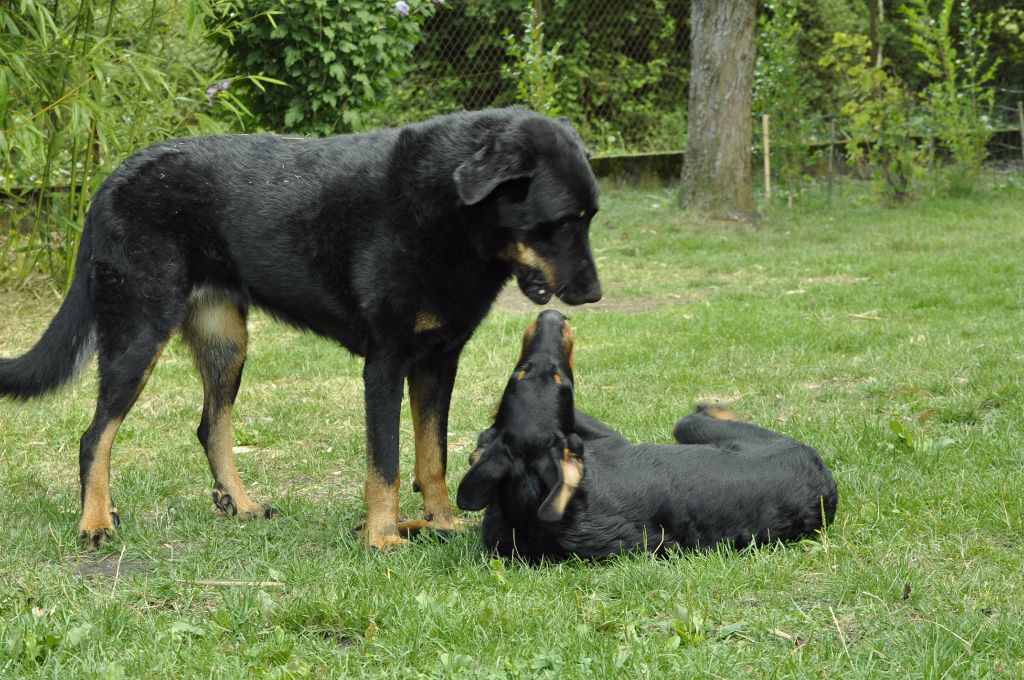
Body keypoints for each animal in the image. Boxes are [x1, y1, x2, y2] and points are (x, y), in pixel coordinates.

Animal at [0, 107, 598, 553]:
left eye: (589, 218)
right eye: (561, 222)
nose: (593, 295)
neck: (449, 214)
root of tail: (108, 182)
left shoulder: (437, 361)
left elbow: (433, 457)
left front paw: (443, 523)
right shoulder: (385, 364)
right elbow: (386, 463)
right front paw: (383, 538)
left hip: (226, 343)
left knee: (210, 426)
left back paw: (239, 504)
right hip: (138, 334)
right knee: (94, 436)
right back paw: (95, 521)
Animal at [458, 311, 839, 561]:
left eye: (521, 373)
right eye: (558, 380)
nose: (552, 314)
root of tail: (824, 486)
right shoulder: (611, 441)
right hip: (701, 428)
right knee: (696, 417)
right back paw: (712, 405)